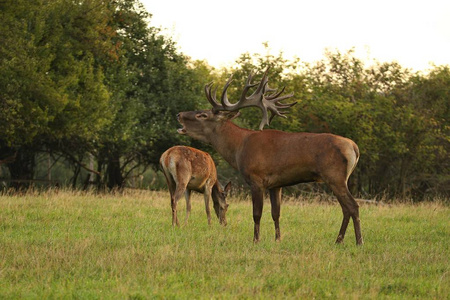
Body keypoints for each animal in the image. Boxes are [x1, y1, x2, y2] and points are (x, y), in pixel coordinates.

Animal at [176, 69, 362, 245]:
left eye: (202, 115)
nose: (179, 114)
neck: (239, 148)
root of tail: (354, 147)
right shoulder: (276, 184)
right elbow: (276, 213)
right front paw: (278, 239)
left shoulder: (256, 179)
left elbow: (257, 213)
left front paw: (256, 240)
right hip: (338, 179)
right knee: (346, 208)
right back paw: (339, 240)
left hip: (335, 176)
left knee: (353, 206)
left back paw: (358, 241)